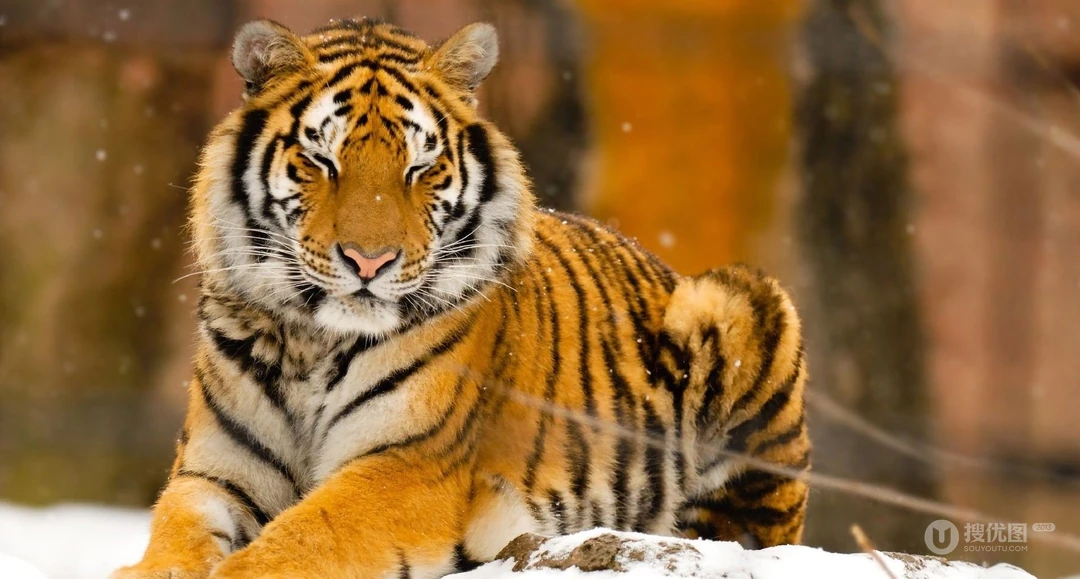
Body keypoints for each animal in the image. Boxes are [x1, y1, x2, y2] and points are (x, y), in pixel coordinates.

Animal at [113, 17, 810, 579]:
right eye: (322, 161)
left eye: (419, 168)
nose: (369, 261)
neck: (312, 339)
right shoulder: (213, 472)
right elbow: (173, 535)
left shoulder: (409, 465)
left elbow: (300, 539)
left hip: (741, 306)